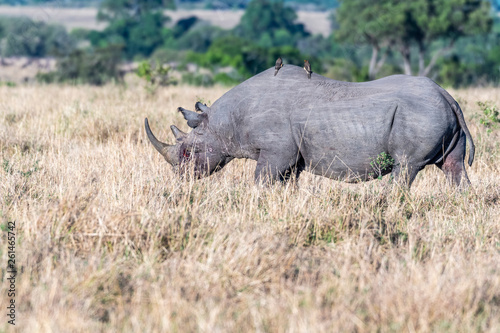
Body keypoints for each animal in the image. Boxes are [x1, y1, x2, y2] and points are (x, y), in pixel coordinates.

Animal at [144, 64, 472, 187]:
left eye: (187, 153)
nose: (181, 180)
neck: (222, 123)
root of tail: (447, 95)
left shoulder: (276, 152)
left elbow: (260, 181)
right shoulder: (290, 157)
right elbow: (286, 184)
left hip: (419, 113)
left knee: (405, 167)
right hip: (438, 112)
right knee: (454, 167)